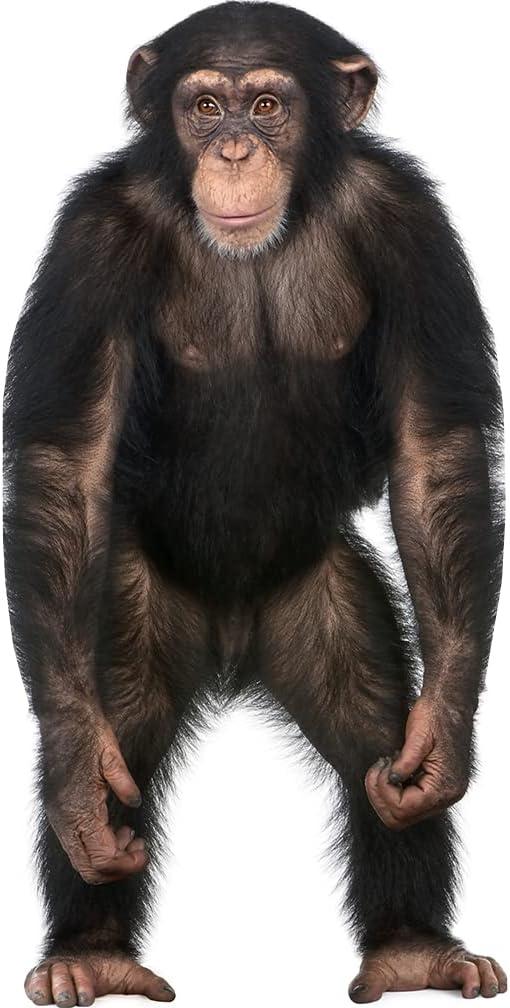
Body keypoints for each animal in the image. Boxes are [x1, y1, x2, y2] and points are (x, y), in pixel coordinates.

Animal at [4, 2, 505, 1005]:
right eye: (204, 106)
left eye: (267, 104)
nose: (234, 148)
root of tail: (234, 650)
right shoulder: (90, 239)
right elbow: (65, 463)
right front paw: (77, 782)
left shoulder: (410, 221)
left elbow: (435, 446)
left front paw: (445, 741)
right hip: (134, 612)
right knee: (123, 730)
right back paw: (90, 951)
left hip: (324, 599)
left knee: (370, 730)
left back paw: (412, 944)